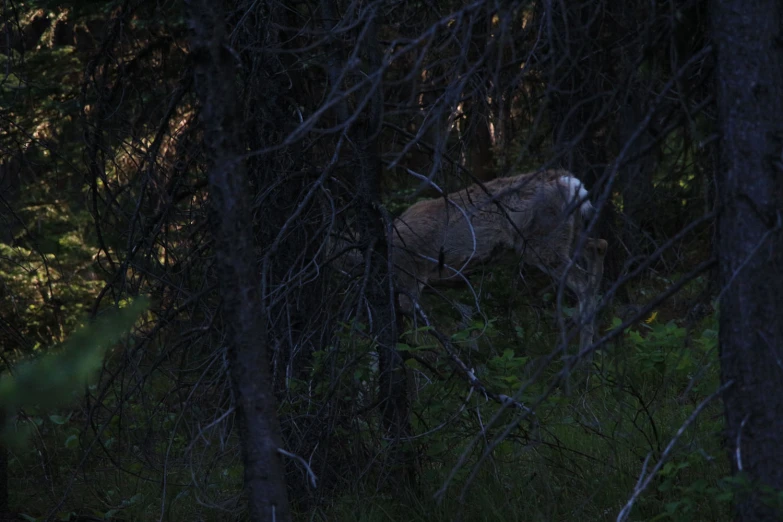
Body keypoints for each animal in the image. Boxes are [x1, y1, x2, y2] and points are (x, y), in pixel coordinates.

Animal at [328, 169, 608, 352]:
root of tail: (570, 182)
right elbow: (462, 319)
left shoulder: (410, 275)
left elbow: (415, 327)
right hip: (571, 234)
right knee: (599, 249)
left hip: (545, 240)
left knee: (583, 284)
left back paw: (581, 360)